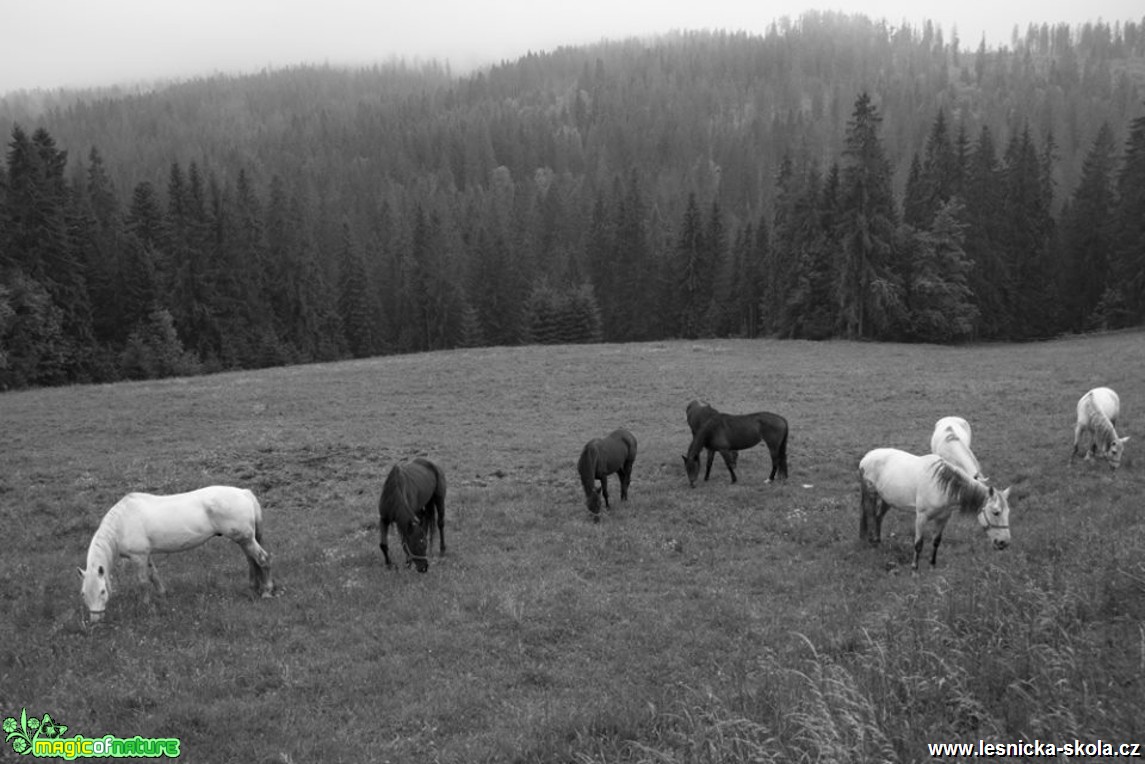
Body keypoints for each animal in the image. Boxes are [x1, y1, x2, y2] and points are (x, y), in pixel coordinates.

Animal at [79, 487, 274, 623]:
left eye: (102, 591)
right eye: (83, 594)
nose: (96, 620)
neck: (123, 523)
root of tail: (244, 493)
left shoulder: (139, 557)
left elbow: (143, 582)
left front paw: (146, 606)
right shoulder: (147, 555)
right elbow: (154, 575)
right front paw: (162, 595)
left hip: (245, 539)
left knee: (262, 560)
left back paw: (266, 591)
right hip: (244, 540)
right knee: (252, 561)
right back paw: (253, 589)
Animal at [861, 449, 1012, 572]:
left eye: (1007, 513)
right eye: (996, 512)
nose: (1004, 543)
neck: (941, 487)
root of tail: (867, 457)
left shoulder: (943, 519)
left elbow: (936, 541)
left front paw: (932, 565)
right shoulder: (921, 518)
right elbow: (918, 544)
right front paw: (914, 569)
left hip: (887, 499)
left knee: (878, 517)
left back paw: (878, 541)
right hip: (871, 495)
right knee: (870, 517)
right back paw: (871, 542)